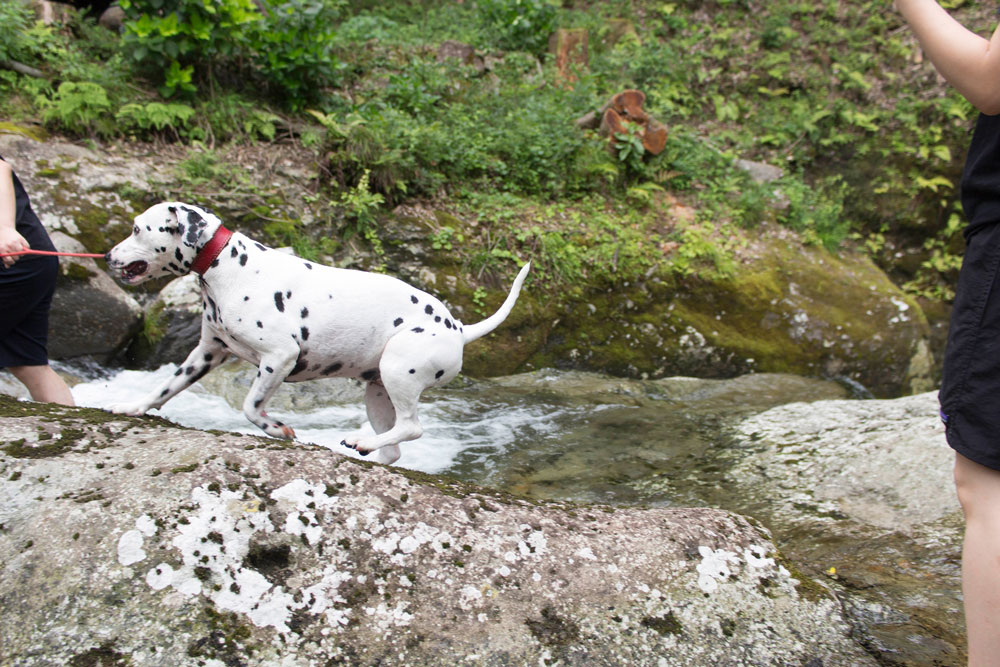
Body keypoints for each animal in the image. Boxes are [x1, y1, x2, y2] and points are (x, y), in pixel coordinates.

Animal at [106, 202, 532, 464]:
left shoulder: (279, 358)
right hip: (379, 393)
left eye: (136, 229)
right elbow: (162, 390)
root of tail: (458, 328)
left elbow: (250, 407)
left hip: (398, 373)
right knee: (396, 446)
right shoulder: (206, 353)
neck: (228, 265)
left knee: (412, 427)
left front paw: (276, 429)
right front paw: (131, 407)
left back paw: (363, 441)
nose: (109, 256)